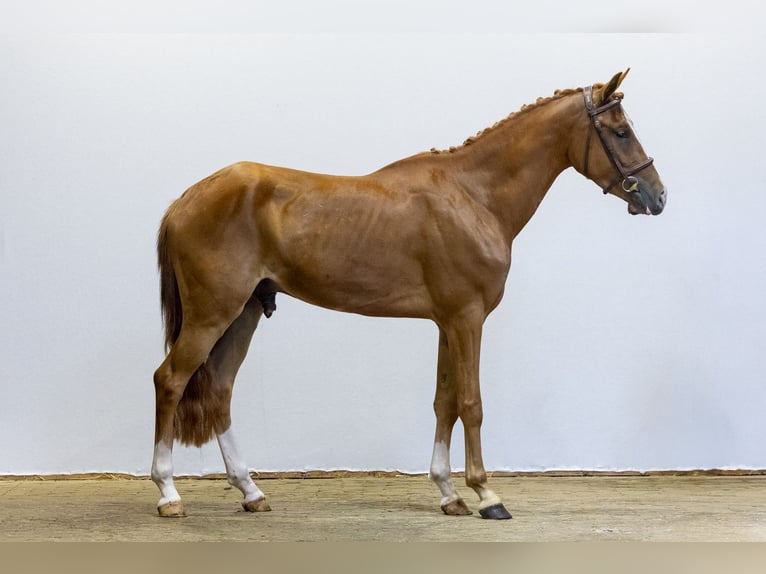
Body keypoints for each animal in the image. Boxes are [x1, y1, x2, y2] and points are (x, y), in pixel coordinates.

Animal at [151, 69, 666, 520]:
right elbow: (471, 404)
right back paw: (169, 494)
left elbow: (444, 401)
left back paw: (251, 492)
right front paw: (486, 495)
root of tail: (185, 199)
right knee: (170, 380)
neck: (475, 196)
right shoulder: (467, 319)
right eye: (621, 132)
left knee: (219, 389)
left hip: (244, 315)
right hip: (212, 314)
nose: (657, 196)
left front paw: (449, 494)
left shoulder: (447, 322)